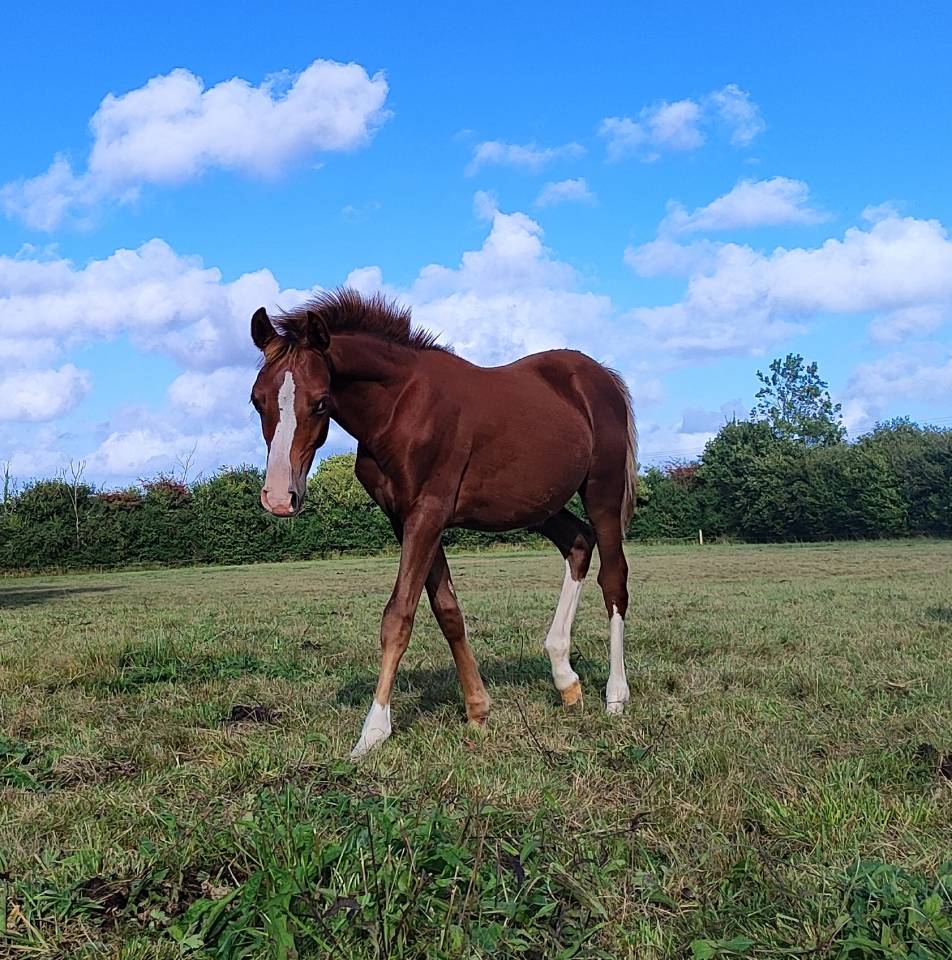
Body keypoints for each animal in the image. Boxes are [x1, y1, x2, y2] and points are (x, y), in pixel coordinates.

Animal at [250, 289, 636, 758]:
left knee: (613, 579)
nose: (279, 497)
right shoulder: (405, 518)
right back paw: (564, 677)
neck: (401, 405)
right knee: (578, 542)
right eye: (257, 399)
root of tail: (600, 376)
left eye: (321, 400)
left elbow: (399, 615)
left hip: (602, 492)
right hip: (537, 505)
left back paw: (615, 695)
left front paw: (373, 731)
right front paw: (478, 709)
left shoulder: (428, 514)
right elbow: (447, 610)